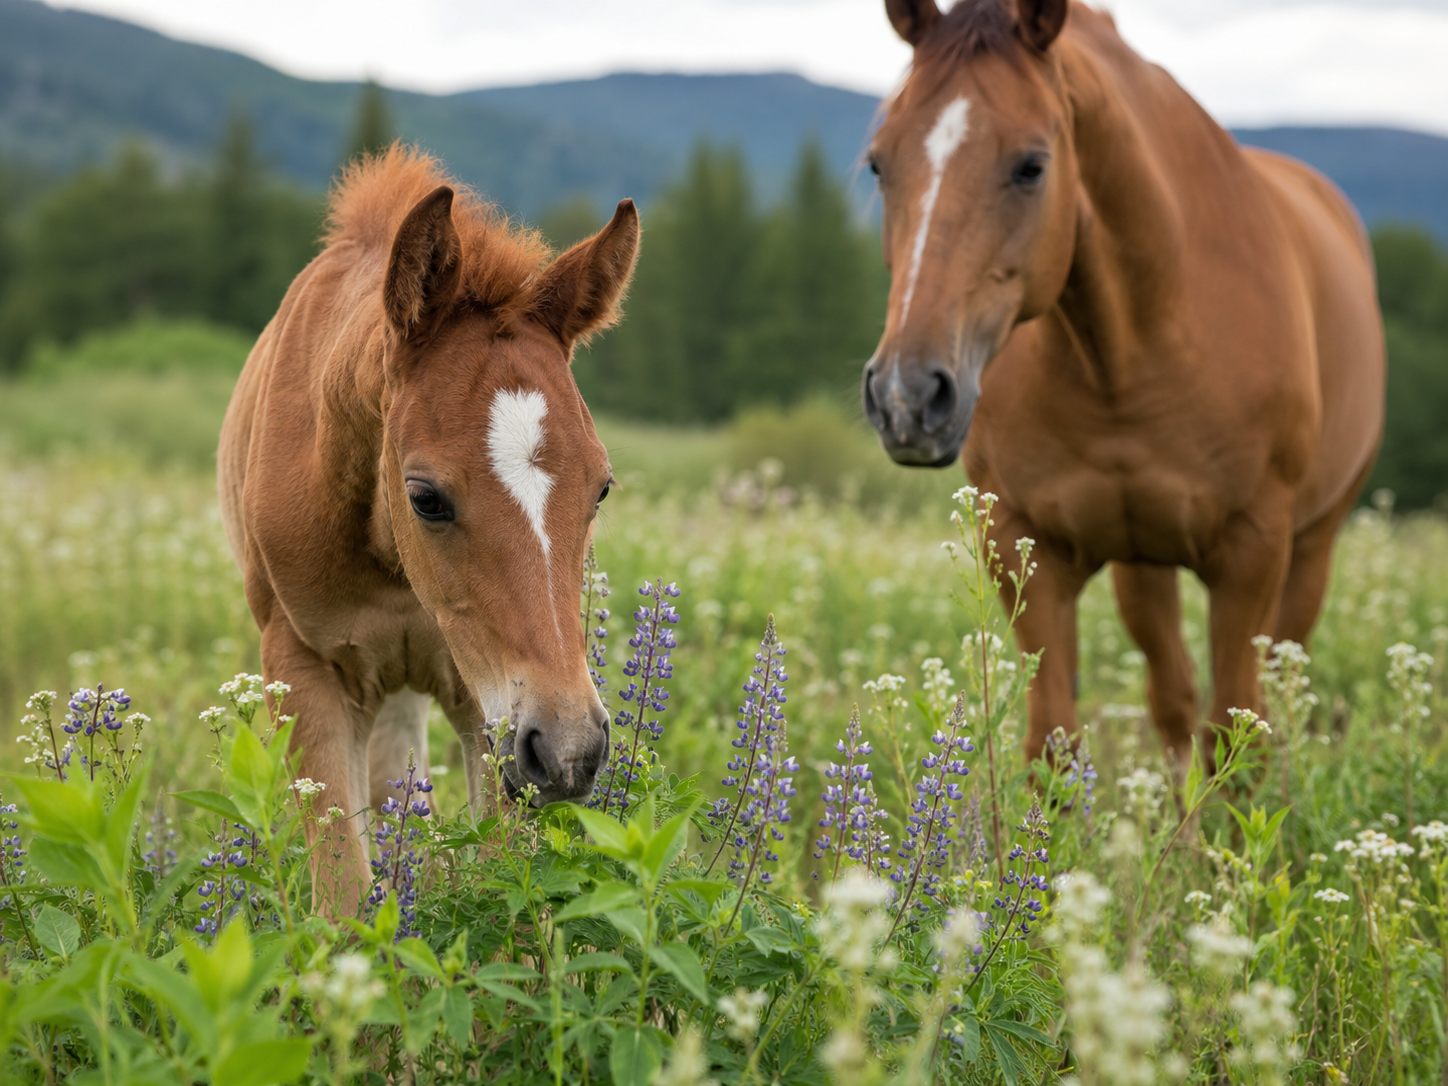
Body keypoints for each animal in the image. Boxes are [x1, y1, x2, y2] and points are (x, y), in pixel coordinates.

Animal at [218, 146, 638, 909]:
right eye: (426, 498)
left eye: (600, 488)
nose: (573, 752)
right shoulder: (300, 664)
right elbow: (343, 895)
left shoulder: (491, 709)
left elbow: (506, 887)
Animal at [862, 0, 1384, 770]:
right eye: (879, 164)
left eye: (1031, 166)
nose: (907, 397)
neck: (1131, 348)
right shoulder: (1025, 547)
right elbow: (1054, 748)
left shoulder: (1252, 556)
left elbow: (1238, 744)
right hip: (1144, 563)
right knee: (1171, 700)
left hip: (1312, 547)